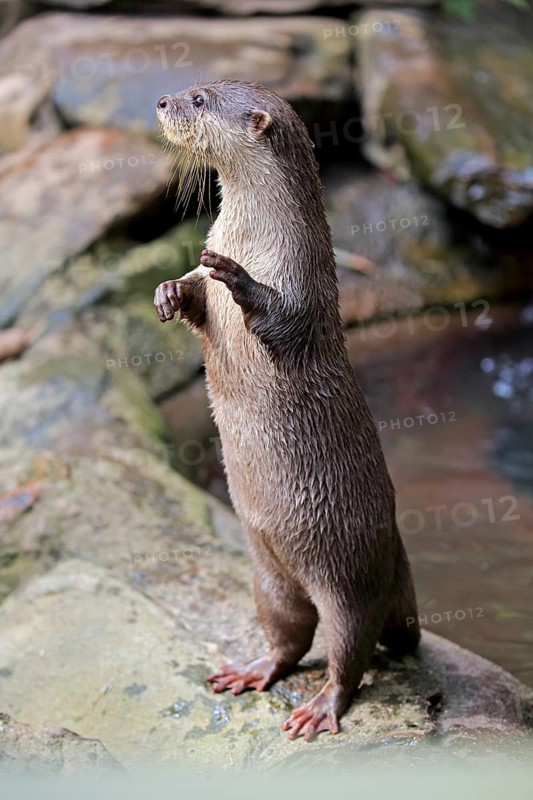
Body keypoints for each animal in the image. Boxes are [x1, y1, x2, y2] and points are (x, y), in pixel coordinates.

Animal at [154, 80, 420, 741]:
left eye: (200, 98)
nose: (163, 102)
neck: (250, 239)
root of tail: (397, 557)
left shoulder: (304, 288)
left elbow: (280, 316)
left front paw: (240, 282)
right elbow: (193, 293)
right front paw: (167, 292)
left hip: (353, 578)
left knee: (351, 650)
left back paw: (322, 708)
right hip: (267, 574)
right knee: (290, 636)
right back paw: (252, 670)